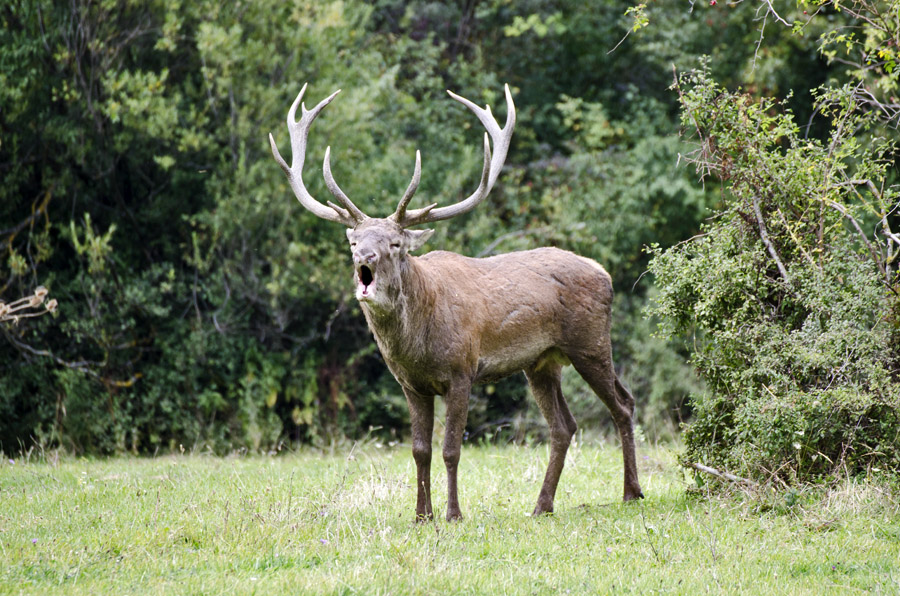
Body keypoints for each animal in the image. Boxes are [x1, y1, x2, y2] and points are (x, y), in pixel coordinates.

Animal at [270, 84, 644, 520]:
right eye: (353, 241)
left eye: (394, 243)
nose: (366, 257)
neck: (417, 344)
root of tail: (605, 274)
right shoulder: (410, 384)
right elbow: (419, 451)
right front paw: (421, 515)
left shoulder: (462, 370)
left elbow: (450, 449)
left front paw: (452, 514)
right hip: (541, 363)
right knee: (564, 426)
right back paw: (542, 505)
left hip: (590, 343)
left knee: (623, 404)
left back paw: (631, 492)